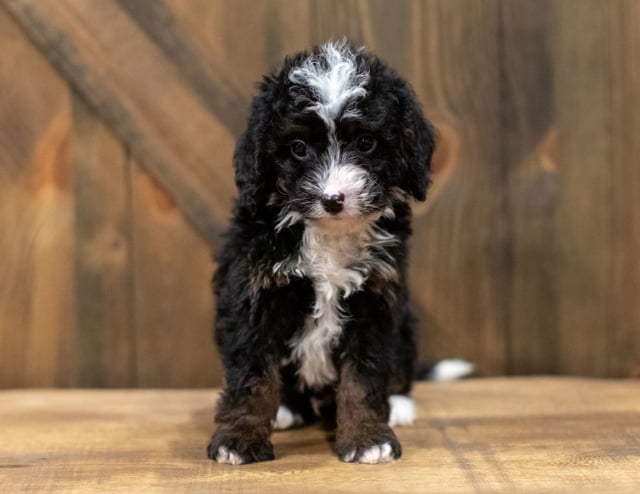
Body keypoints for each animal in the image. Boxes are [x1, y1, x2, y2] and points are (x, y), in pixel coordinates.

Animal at [209, 40, 436, 466]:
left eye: (366, 143)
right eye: (298, 148)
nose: (332, 199)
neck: (329, 234)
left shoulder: (375, 299)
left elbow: (364, 376)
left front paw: (367, 437)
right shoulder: (254, 291)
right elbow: (252, 377)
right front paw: (240, 438)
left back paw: (399, 404)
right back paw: (286, 409)